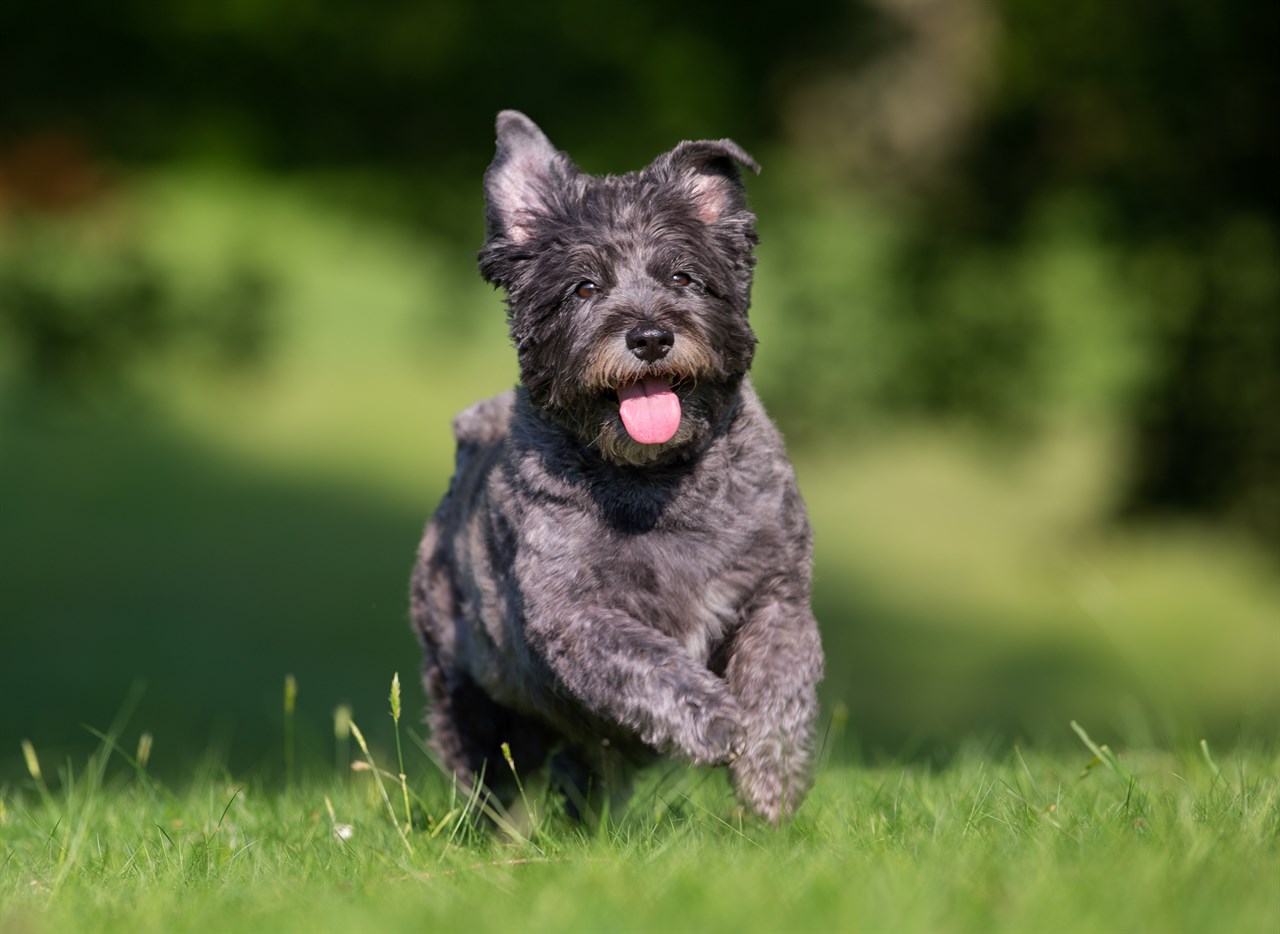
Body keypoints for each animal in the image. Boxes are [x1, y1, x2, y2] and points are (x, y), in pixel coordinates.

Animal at [414, 110, 824, 823]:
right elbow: (649, 661)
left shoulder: (778, 597)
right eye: (584, 287)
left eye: (683, 277)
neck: (657, 481)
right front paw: (716, 721)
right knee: (495, 782)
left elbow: (780, 685)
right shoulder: (576, 618)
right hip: (474, 701)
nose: (650, 336)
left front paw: (769, 781)